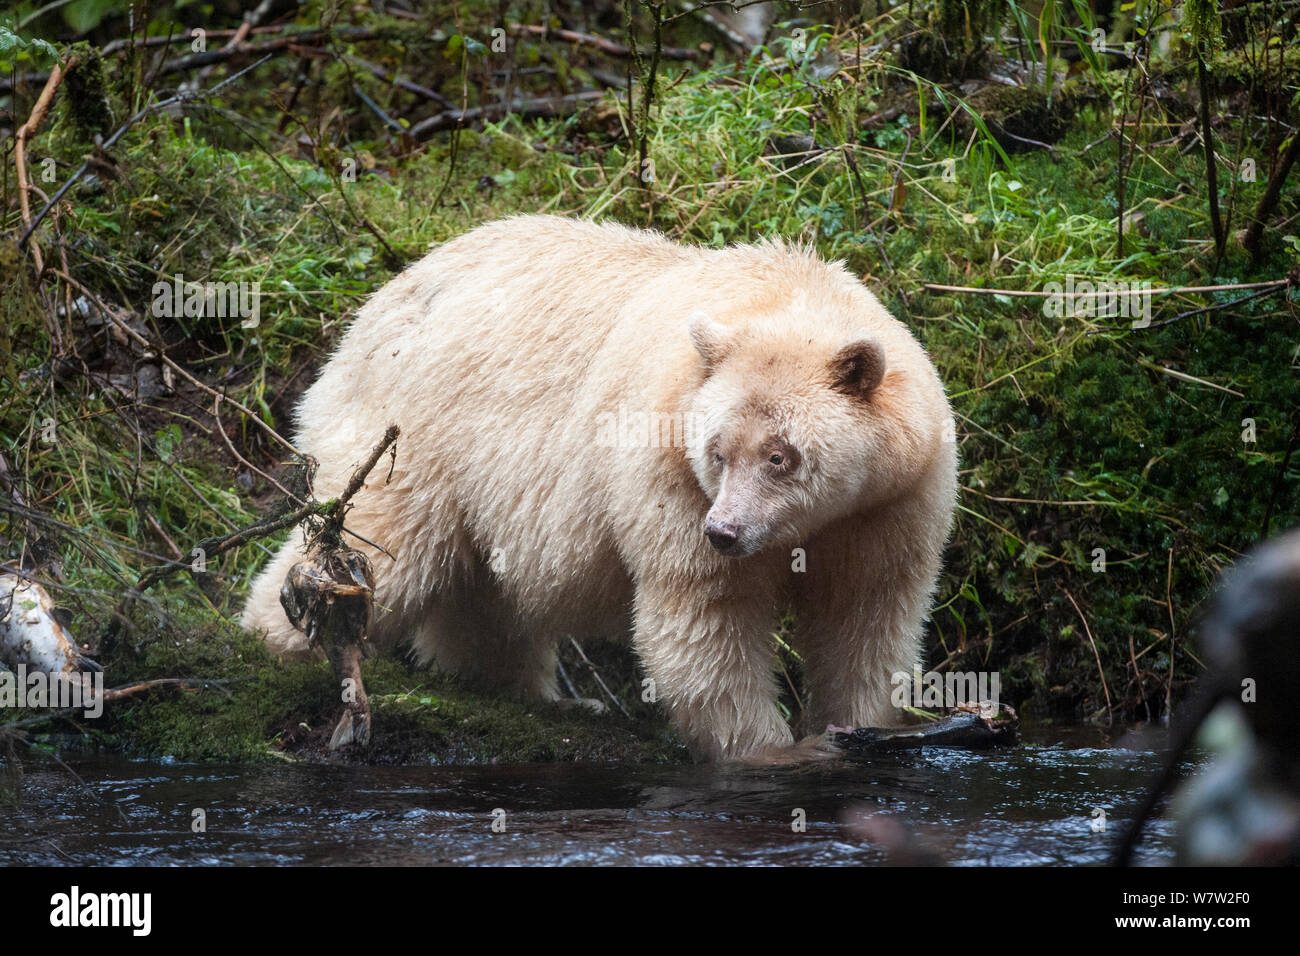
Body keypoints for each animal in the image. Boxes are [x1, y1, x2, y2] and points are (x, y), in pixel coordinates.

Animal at [239, 217, 961, 764]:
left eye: (781, 456)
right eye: (718, 451)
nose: (725, 532)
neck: (784, 294)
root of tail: (375, 305)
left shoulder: (891, 499)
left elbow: (865, 612)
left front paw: (858, 725)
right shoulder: (668, 473)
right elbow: (705, 618)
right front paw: (774, 749)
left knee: (483, 594)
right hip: (415, 428)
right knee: (385, 541)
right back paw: (282, 638)